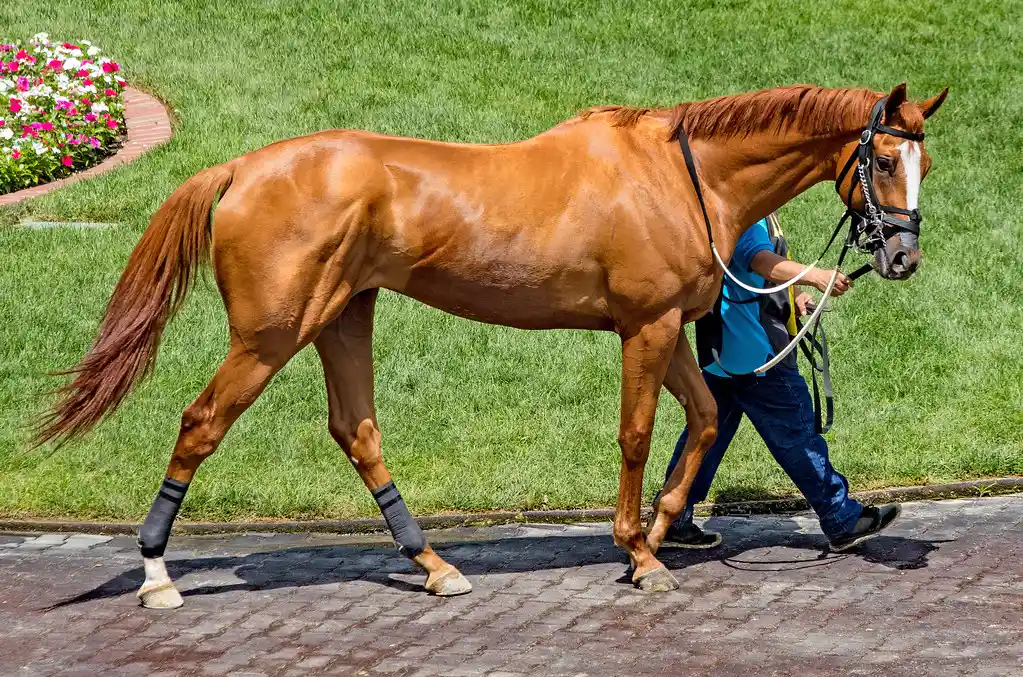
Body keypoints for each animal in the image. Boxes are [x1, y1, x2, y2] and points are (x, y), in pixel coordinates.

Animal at [41, 82, 949, 605]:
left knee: (357, 430)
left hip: (343, 315)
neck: (678, 175)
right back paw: (157, 573)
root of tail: (239, 169)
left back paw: (434, 564)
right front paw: (641, 552)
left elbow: (698, 421)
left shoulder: (668, 333)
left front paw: (656, 535)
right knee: (201, 423)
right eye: (883, 159)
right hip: (270, 335)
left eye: (924, 164)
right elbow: (637, 433)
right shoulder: (646, 326)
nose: (902, 257)